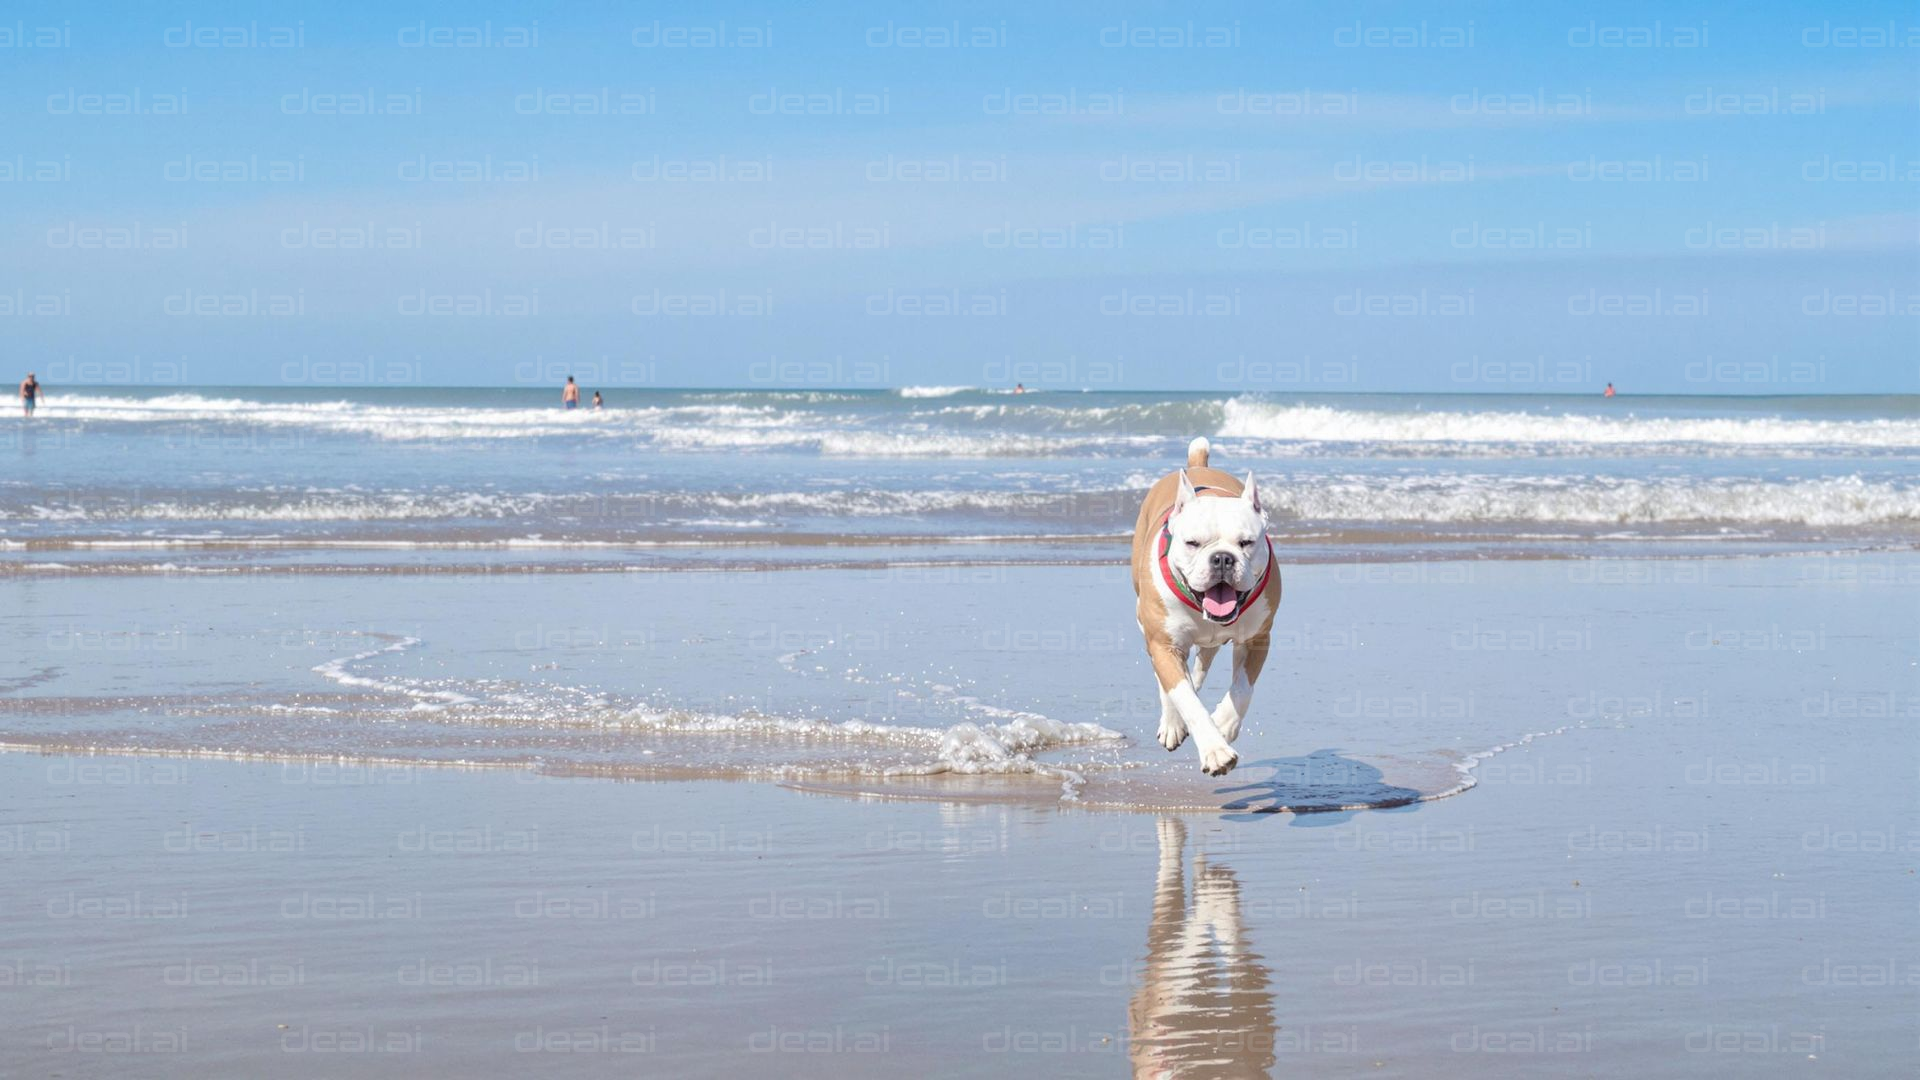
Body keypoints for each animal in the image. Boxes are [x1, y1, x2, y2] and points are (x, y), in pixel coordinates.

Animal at [1128, 438, 1282, 772]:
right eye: (1193, 543)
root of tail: (1198, 465)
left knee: (1202, 662)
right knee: (1170, 679)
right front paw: (1215, 750)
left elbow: (1242, 687)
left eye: (1246, 543)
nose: (1222, 558)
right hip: (1147, 626)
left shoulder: (1257, 638)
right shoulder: (1163, 643)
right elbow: (1184, 698)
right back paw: (1172, 722)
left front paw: (1224, 724)